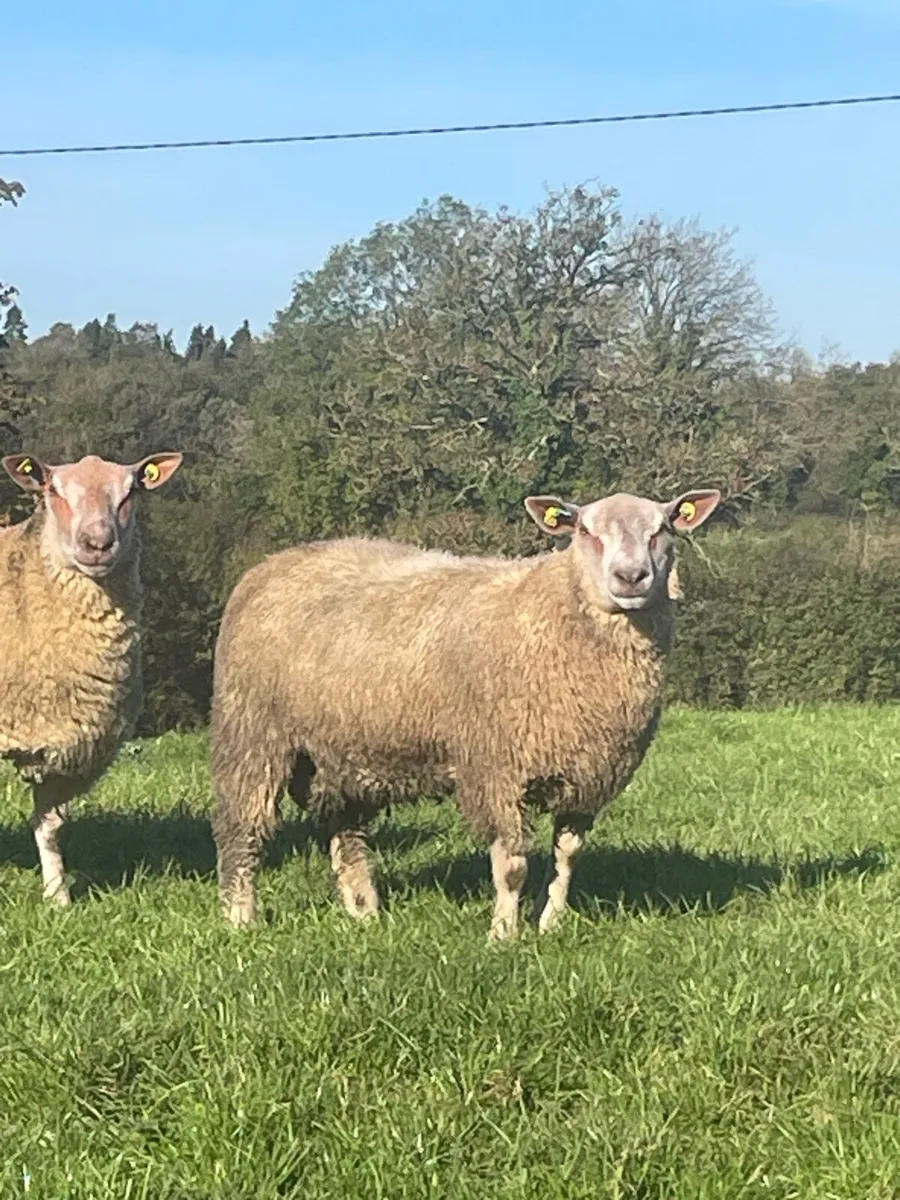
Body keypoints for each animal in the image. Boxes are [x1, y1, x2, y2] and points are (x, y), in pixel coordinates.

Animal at [0, 450, 183, 904]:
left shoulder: (64, 742)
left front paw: (58, 899)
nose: (98, 543)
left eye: (131, 491)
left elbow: (50, 826)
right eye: (53, 489)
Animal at [211, 486, 720, 938]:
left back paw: (364, 915)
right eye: (584, 531)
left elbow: (567, 857)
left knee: (346, 833)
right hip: (253, 733)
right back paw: (240, 918)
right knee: (243, 827)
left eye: (662, 530)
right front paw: (503, 935)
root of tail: (272, 563)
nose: (631, 577)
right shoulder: (496, 769)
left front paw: (550, 924)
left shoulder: (587, 777)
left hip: (342, 752)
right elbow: (512, 865)